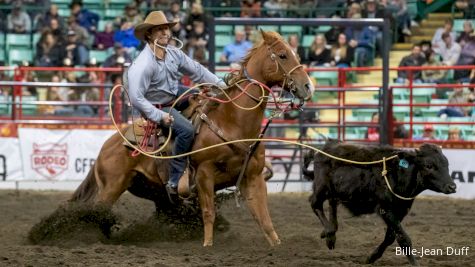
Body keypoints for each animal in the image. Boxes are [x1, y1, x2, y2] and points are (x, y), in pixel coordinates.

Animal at [70, 30, 314, 247]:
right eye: (282, 55)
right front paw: (207, 245)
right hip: (110, 188)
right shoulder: (205, 175)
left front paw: (277, 245)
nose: (308, 86)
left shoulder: (253, 177)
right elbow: (208, 213)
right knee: (96, 213)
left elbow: (263, 217)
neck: (232, 122)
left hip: (154, 192)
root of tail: (105, 147)